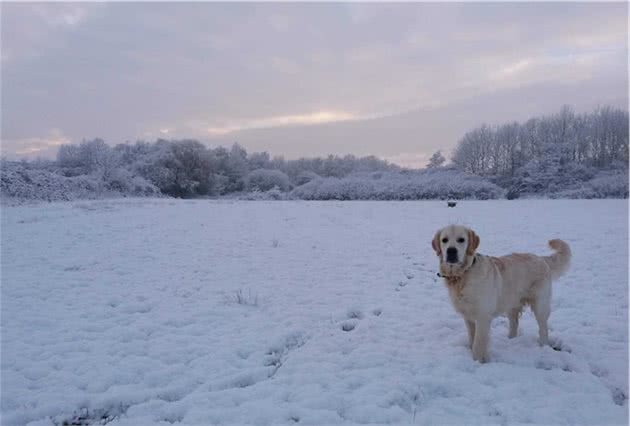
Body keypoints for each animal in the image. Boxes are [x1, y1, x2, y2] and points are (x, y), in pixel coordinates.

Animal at [434, 225, 572, 362]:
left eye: (461, 240)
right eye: (444, 240)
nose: (451, 251)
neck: (463, 275)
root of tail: (540, 258)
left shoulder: (483, 316)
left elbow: (478, 343)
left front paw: (478, 360)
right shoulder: (468, 316)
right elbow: (472, 338)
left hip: (540, 306)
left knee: (543, 329)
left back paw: (543, 346)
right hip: (511, 304)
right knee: (514, 323)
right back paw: (511, 340)